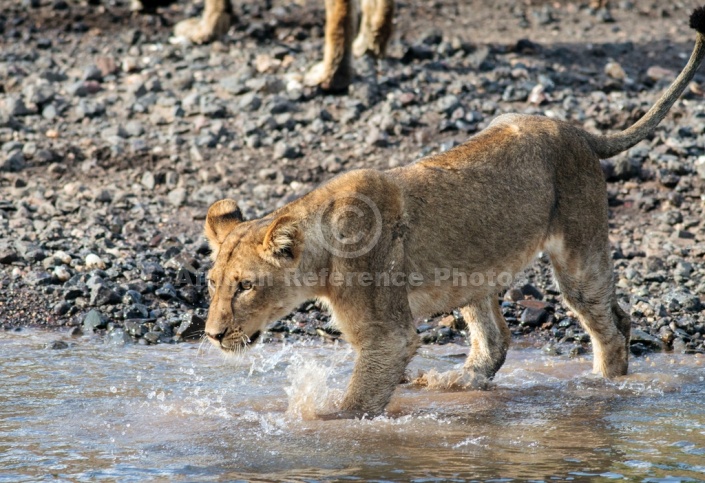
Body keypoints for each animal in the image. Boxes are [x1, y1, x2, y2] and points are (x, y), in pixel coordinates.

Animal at [204, 5, 705, 418]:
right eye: (212, 284)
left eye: (246, 286)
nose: (211, 336)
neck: (323, 253)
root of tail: (575, 129)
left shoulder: (387, 335)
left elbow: (357, 402)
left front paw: (319, 422)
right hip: (473, 269)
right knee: (499, 339)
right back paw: (454, 382)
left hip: (579, 255)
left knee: (610, 329)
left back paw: (600, 389)